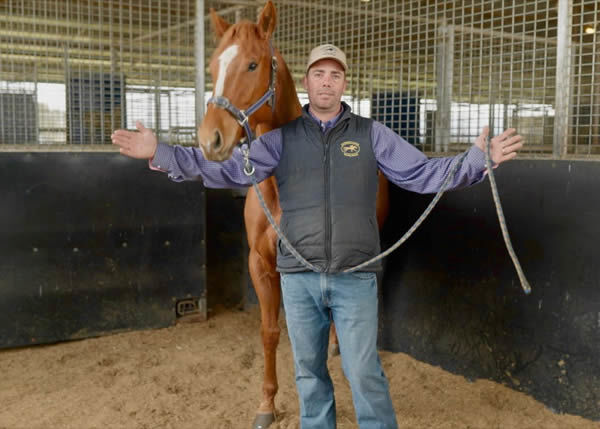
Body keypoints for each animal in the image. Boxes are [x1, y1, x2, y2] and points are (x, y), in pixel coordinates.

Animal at [197, 2, 390, 424]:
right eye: (213, 67)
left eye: (253, 65)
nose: (209, 140)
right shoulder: (260, 263)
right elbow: (270, 332)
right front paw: (266, 405)